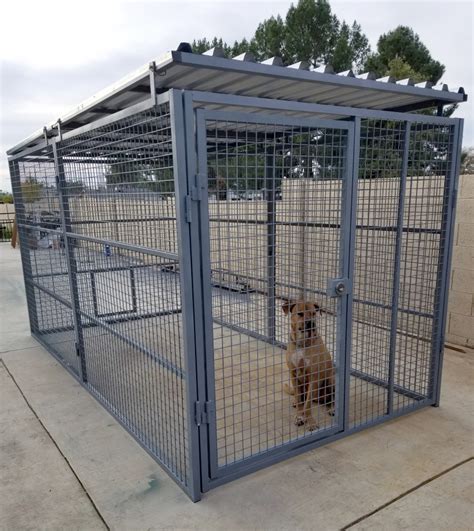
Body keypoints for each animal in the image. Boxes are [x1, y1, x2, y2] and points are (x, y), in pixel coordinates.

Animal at [284, 302, 336, 430]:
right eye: (300, 313)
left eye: (313, 313)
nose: (311, 323)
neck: (302, 343)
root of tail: (319, 399)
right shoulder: (293, 375)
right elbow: (300, 400)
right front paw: (299, 417)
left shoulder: (313, 378)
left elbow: (307, 406)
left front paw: (310, 421)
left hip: (331, 380)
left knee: (331, 399)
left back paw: (332, 408)